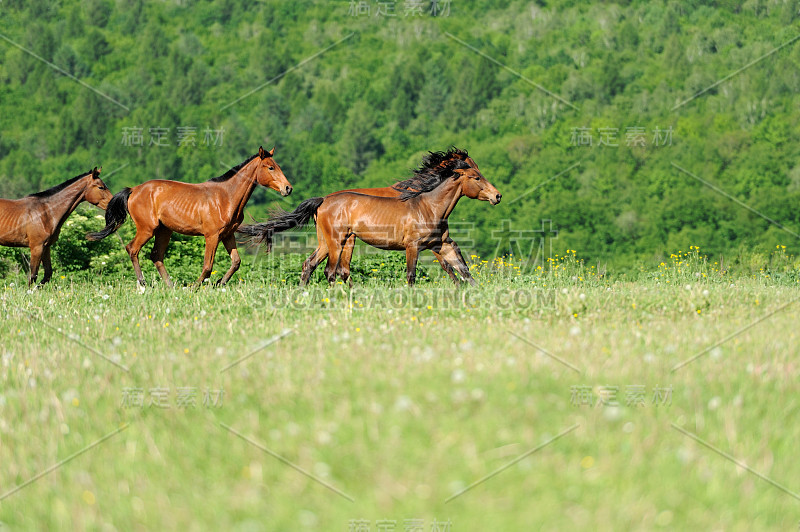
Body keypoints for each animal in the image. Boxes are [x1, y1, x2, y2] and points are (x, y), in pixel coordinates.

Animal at [88, 145, 294, 286]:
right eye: (270, 167)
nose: (288, 188)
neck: (226, 197)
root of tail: (134, 190)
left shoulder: (227, 235)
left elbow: (236, 262)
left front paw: (220, 283)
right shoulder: (212, 236)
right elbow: (208, 266)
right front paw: (195, 287)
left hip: (164, 231)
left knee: (156, 255)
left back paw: (171, 287)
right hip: (147, 229)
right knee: (132, 249)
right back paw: (143, 284)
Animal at [238, 150, 500, 286]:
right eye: (476, 177)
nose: (497, 196)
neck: (428, 206)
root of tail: (323, 200)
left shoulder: (441, 244)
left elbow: (462, 269)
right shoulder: (413, 246)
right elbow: (413, 274)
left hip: (327, 242)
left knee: (311, 264)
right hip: (338, 242)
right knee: (331, 271)